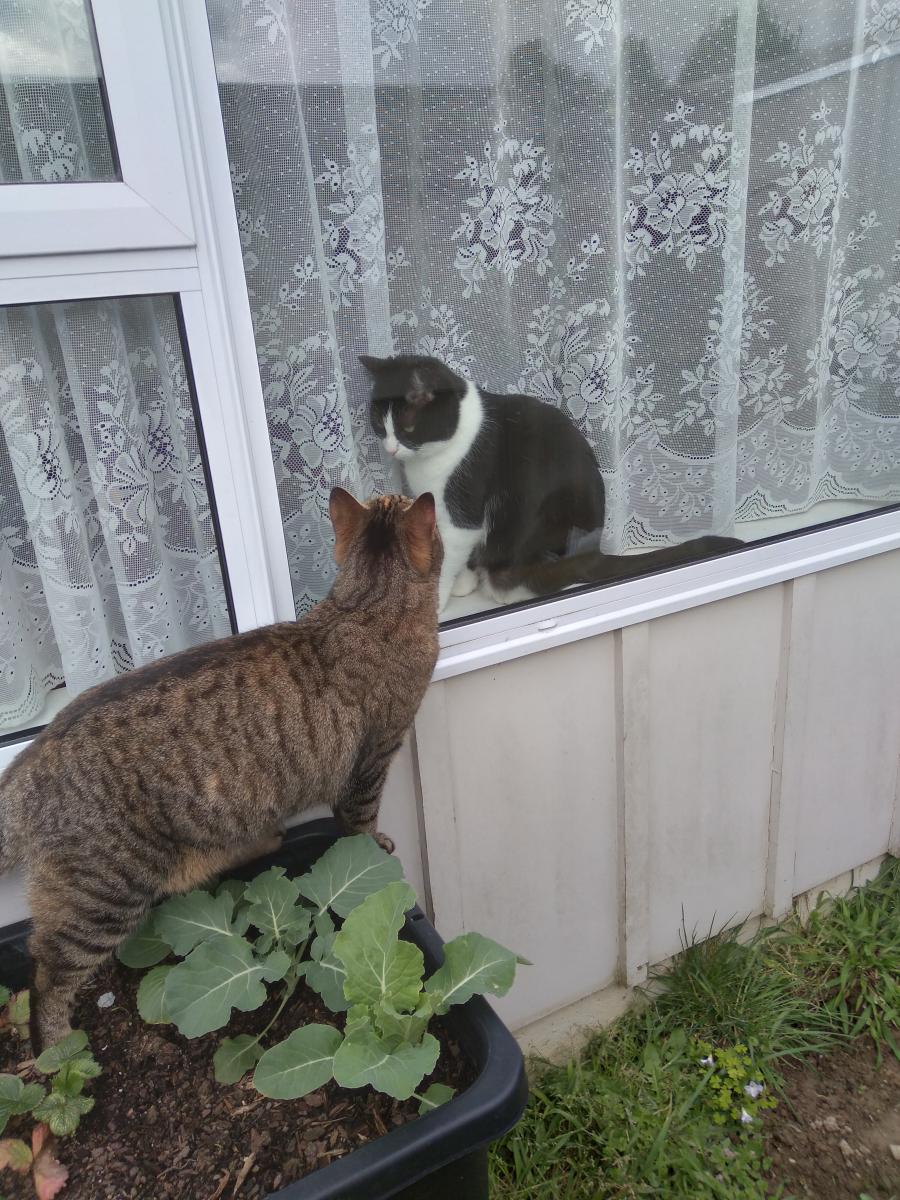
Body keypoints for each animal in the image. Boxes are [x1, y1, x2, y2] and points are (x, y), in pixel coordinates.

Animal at [0, 490, 440, 1053]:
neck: (364, 605)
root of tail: (28, 764)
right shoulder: (371, 761)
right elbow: (359, 825)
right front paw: (374, 851)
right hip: (102, 897)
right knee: (47, 976)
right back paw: (57, 1045)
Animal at [361, 354, 743, 612]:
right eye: (379, 424)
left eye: (408, 427)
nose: (391, 448)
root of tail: (593, 553)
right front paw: (463, 584)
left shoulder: (463, 505)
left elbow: (451, 551)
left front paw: (437, 599)